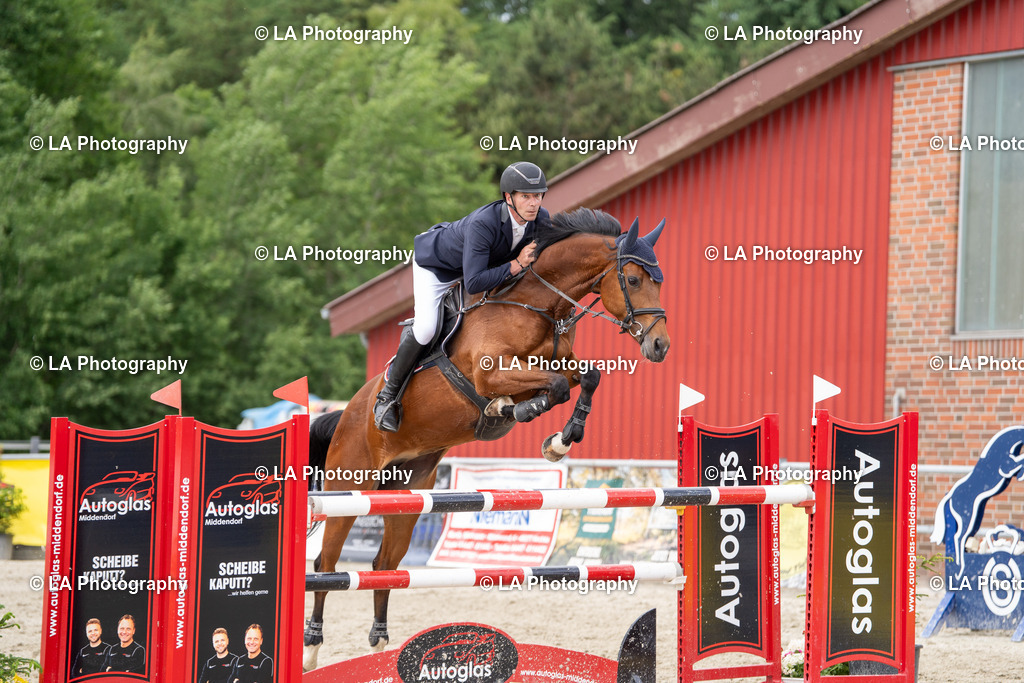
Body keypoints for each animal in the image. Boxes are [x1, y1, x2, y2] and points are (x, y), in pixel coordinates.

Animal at [303, 208, 671, 671]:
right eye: (635, 280)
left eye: (659, 281)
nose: (660, 345)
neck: (538, 304)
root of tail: (346, 414)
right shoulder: (491, 373)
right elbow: (552, 387)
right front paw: (515, 414)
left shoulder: (556, 364)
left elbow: (585, 377)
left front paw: (560, 440)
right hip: (349, 486)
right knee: (327, 562)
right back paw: (312, 648)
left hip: (408, 491)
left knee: (385, 563)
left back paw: (380, 644)